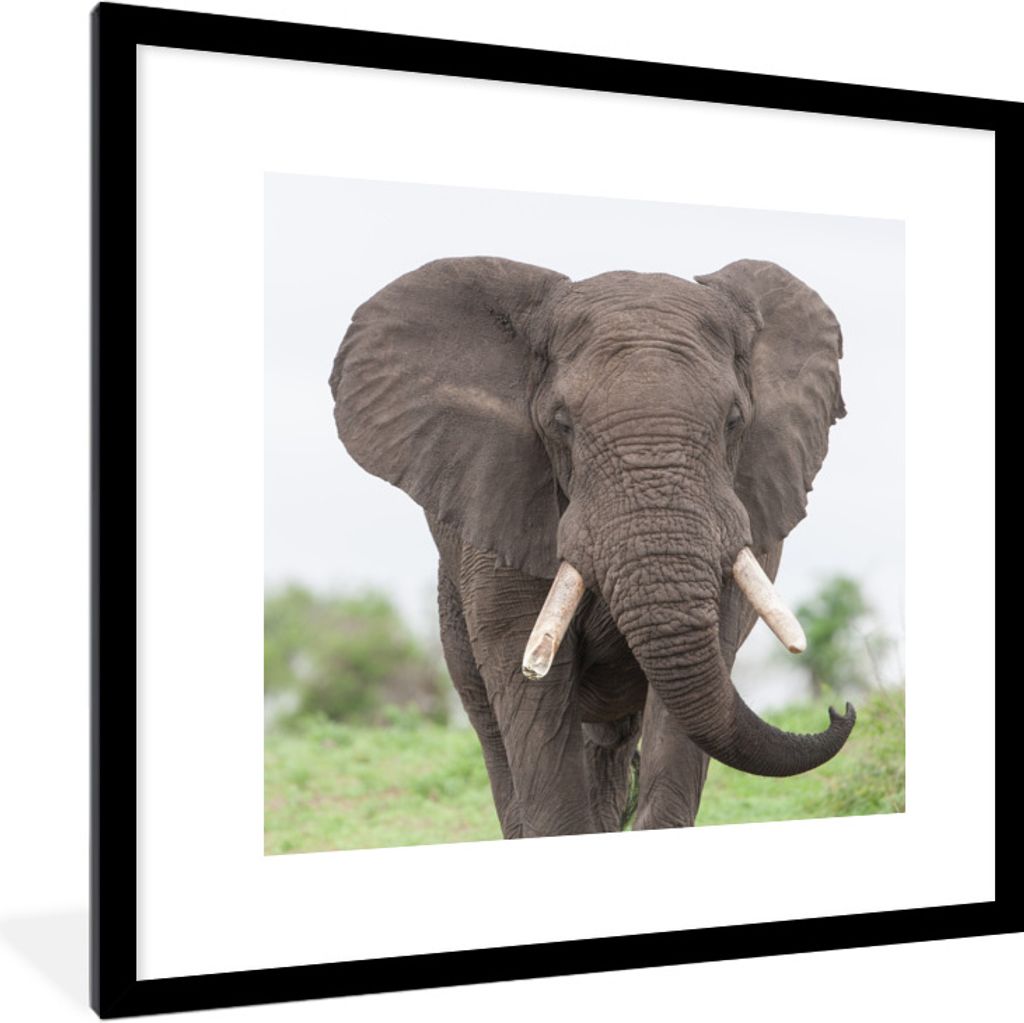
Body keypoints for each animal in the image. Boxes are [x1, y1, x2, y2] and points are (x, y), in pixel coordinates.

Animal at [329, 256, 855, 838]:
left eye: (734, 422)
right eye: (562, 425)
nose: (839, 711)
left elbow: (702, 669)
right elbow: (525, 677)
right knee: (493, 724)